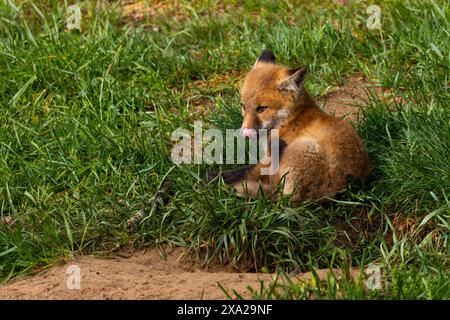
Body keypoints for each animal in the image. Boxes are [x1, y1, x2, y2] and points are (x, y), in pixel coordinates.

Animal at [206, 49, 370, 200]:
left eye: (261, 109)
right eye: (243, 107)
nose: (245, 133)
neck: (290, 120)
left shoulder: (265, 162)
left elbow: (240, 171)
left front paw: (210, 178)